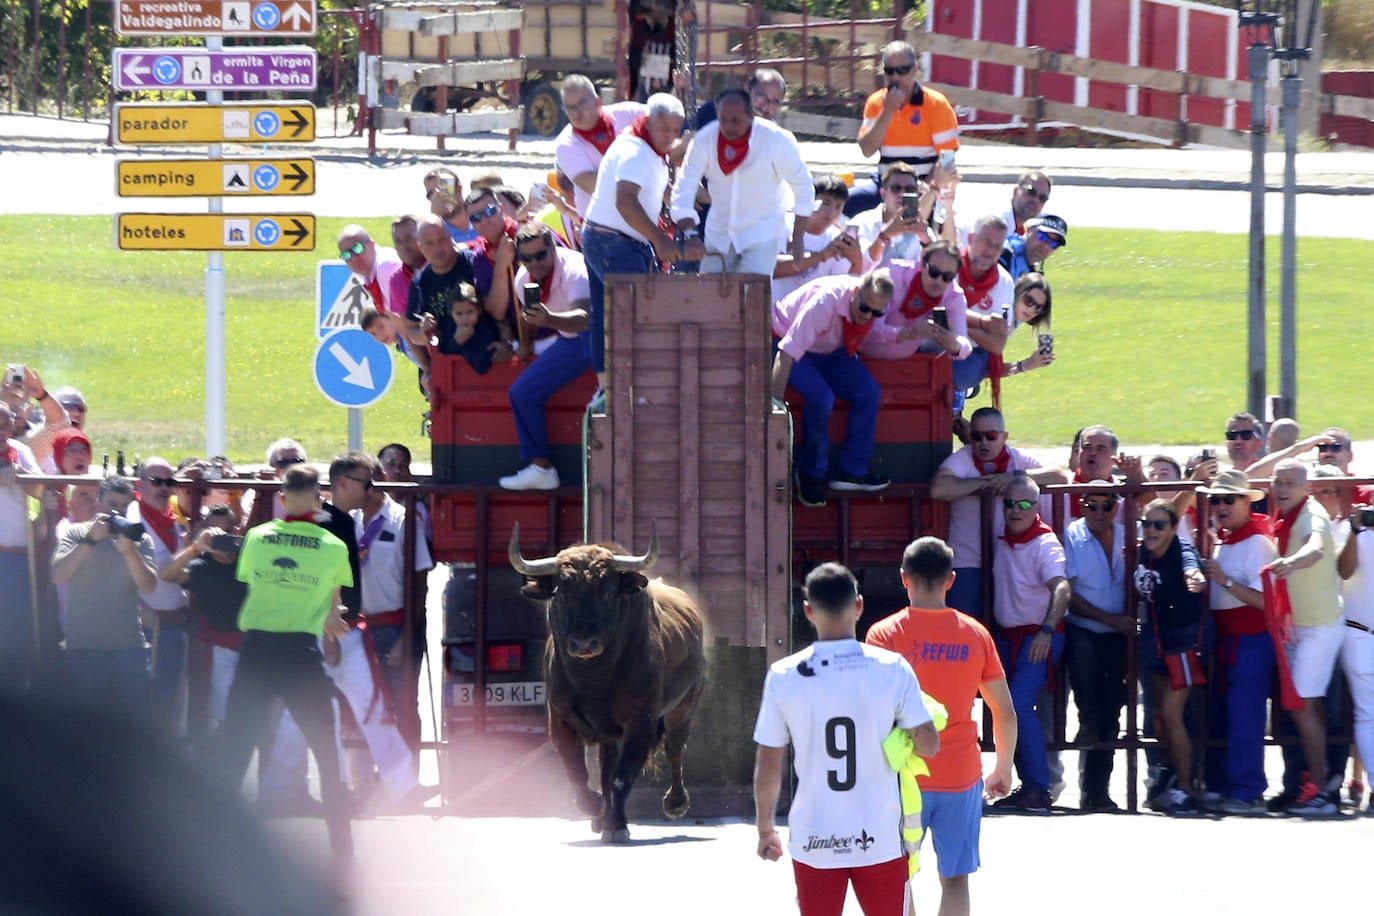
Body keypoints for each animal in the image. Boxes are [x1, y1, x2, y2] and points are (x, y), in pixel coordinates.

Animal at [516, 527, 708, 840]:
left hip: (684, 706)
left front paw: (617, 826)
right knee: (606, 767)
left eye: (606, 592)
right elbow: (578, 771)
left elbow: (622, 776)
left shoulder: (640, 722)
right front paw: (594, 808)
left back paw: (675, 803)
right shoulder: (560, 720)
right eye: (561, 593)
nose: (583, 643)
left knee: (675, 747)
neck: (594, 680)